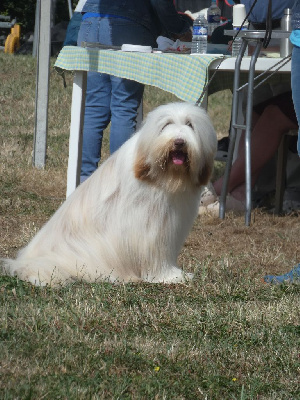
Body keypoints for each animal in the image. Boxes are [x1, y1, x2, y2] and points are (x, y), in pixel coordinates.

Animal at [2, 101, 218, 286]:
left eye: (190, 124)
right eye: (166, 125)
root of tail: (24, 263)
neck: (165, 177)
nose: (179, 142)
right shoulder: (149, 227)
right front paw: (171, 276)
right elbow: (155, 254)